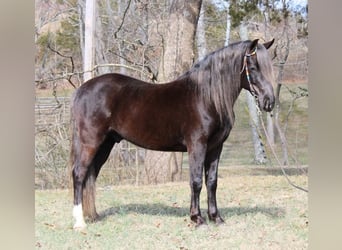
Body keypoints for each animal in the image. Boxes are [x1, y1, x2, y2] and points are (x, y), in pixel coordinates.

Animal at [69, 38, 276, 229]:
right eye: (253, 66)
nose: (269, 101)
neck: (206, 97)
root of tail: (82, 90)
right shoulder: (197, 145)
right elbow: (196, 181)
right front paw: (197, 219)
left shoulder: (216, 147)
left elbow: (212, 182)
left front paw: (216, 218)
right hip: (91, 141)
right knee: (79, 174)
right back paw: (79, 222)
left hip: (106, 144)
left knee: (91, 175)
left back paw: (93, 216)